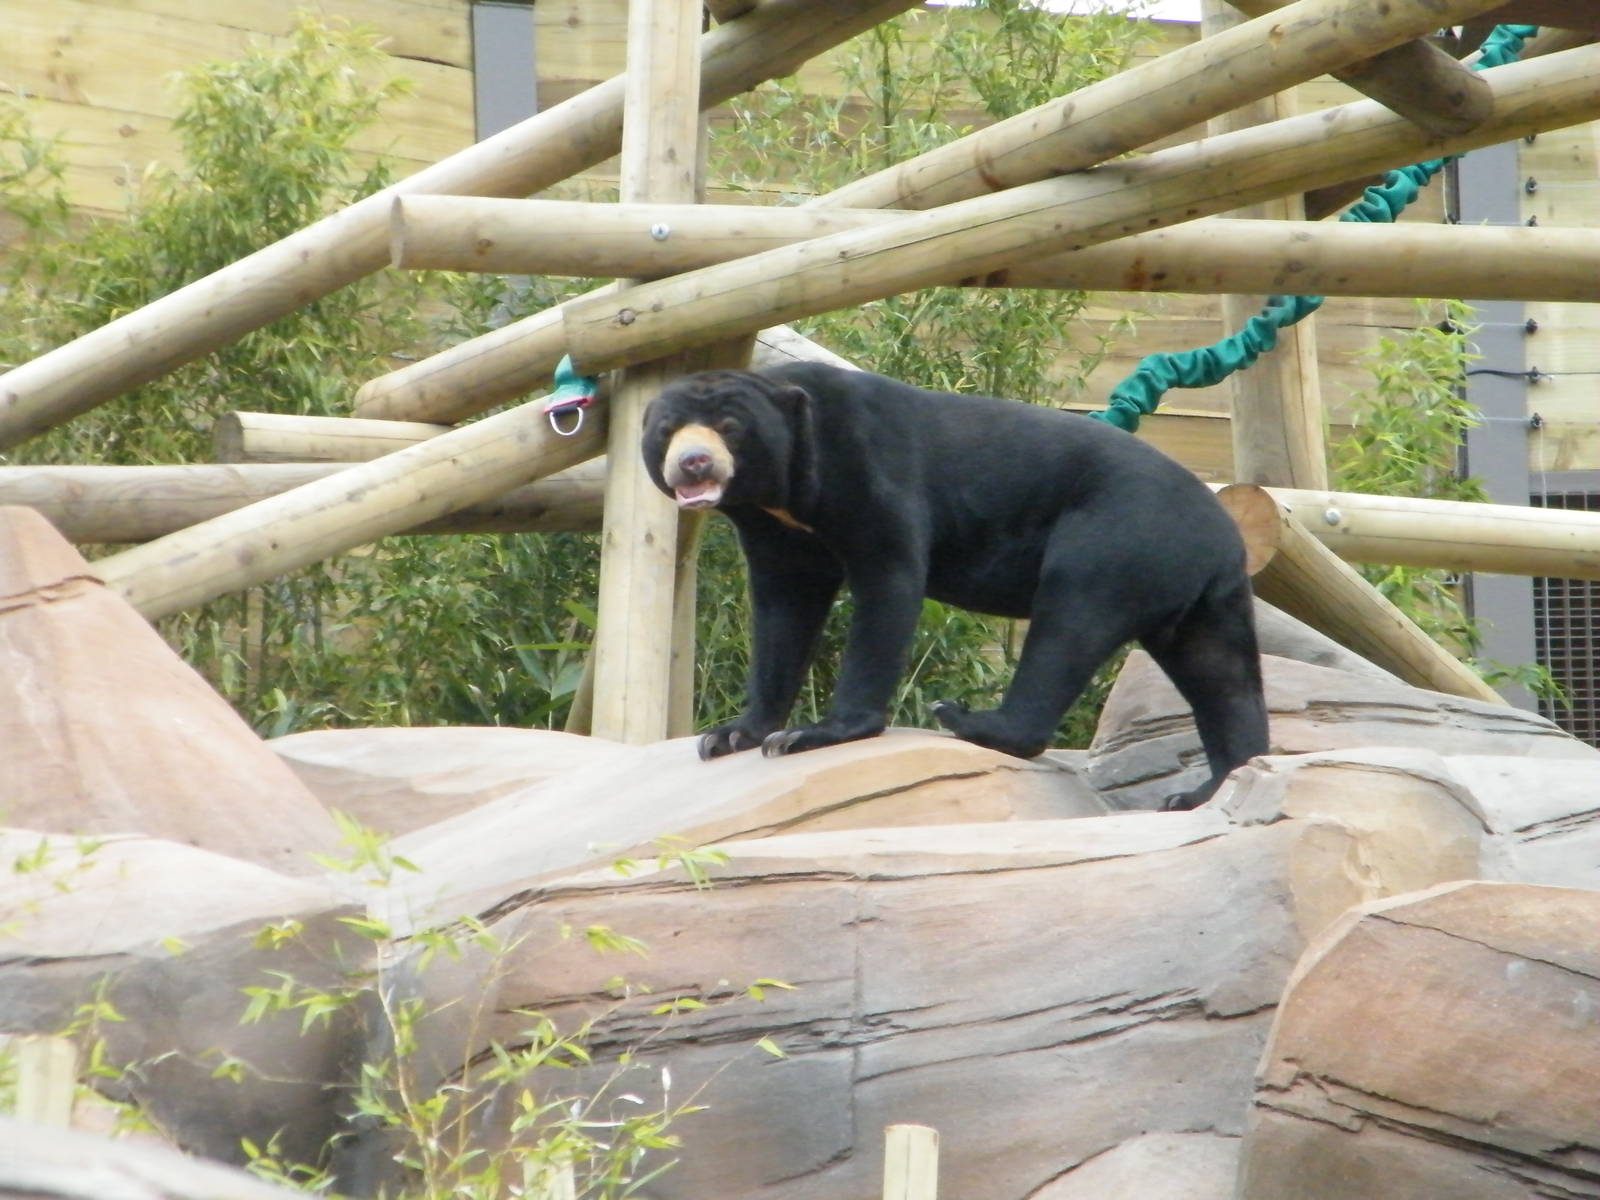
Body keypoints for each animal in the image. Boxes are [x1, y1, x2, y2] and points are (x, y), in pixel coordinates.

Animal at [640, 361, 1269, 810]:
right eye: (666, 431)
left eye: (730, 428)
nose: (693, 464)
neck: (786, 493)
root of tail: (1220, 531)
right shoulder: (776, 531)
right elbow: (782, 609)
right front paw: (732, 736)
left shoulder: (866, 469)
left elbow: (889, 579)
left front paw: (815, 733)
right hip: (1200, 594)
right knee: (1221, 674)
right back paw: (1212, 787)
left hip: (1119, 536)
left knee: (1071, 617)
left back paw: (971, 720)